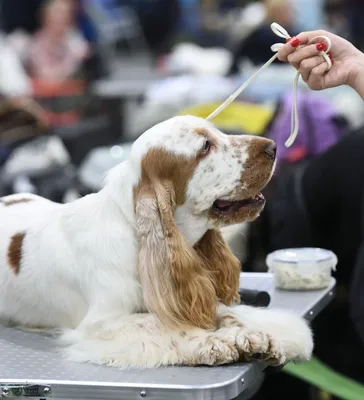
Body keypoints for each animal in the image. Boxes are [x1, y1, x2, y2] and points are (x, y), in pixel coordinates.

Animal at [0, 115, 312, 368]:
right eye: (205, 147)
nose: (273, 147)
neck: (135, 235)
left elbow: (225, 313)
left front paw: (250, 336)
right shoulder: (101, 323)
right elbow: (159, 323)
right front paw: (215, 342)